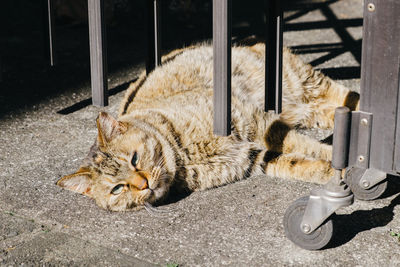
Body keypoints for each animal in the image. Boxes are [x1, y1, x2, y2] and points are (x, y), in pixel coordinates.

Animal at [56, 43, 360, 213]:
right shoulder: (252, 156)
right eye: (117, 189)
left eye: (134, 158)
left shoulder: (258, 124)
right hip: (310, 108)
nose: (143, 184)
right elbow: (297, 163)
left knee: (350, 96)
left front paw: (348, 166)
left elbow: (311, 148)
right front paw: (332, 172)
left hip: (305, 83)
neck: (186, 159)